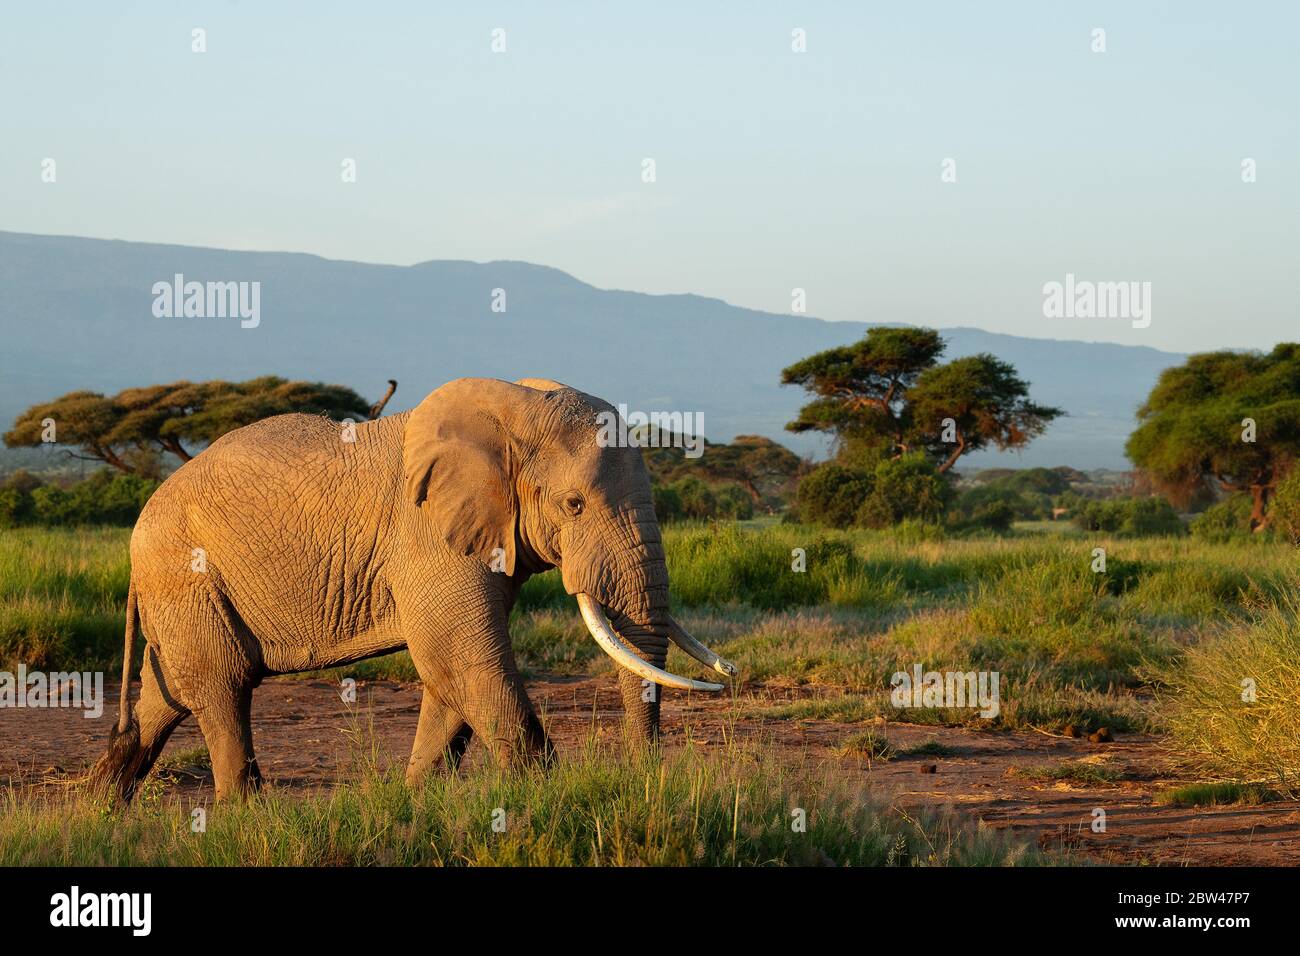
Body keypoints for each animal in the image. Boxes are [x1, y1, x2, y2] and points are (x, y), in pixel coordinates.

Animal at [92, 377, 738, 806]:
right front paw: (541, 801)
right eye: (574, 505)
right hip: (185, 574)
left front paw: (416, 804)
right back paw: (242, 818)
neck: (512, 407)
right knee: (222, 686)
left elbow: (449, 675)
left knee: (167, 696)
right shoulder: (427, 533)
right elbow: (464, 657)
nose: (643, 777)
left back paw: (102, 807)